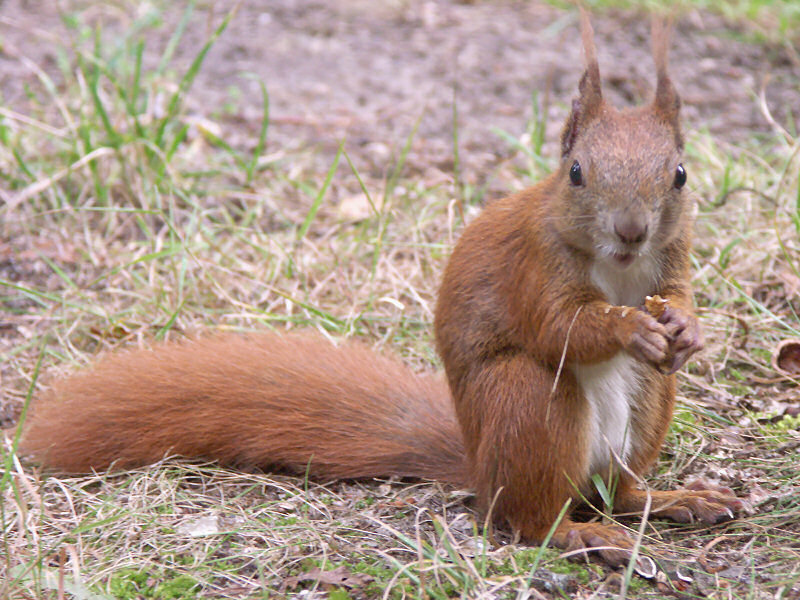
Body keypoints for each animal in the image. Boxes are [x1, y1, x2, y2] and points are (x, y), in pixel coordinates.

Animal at [20, 12, 744, 568]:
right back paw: (580, 535)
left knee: (617, 490)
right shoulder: (534, 267)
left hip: (650, 404)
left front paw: (687, 329)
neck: (617, 268)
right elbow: (559, 327)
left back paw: (674, 500)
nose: (630, 230)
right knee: (526, 516)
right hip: (528, 404)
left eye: (680, 174)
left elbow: (678, 294)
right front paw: (629, 327)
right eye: (576, 173)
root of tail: (478, 462)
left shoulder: (671, 262)